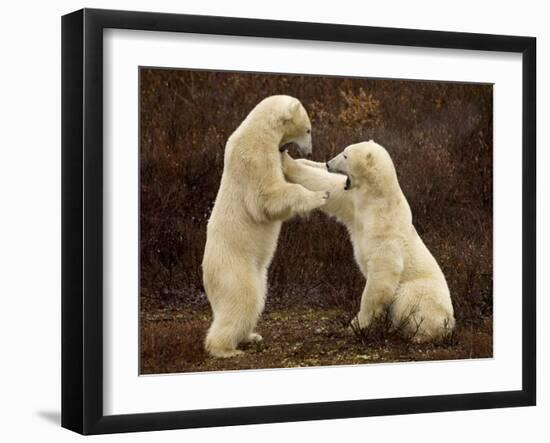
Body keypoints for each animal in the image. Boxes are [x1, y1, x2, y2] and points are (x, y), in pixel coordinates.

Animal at [205, 95, 330, 360]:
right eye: (308, 129)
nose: (311, 150)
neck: (258, 131)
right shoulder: (254, 157)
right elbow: (267, 197)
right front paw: (321, 194)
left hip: (260, 275)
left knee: (257, 301)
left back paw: (251, 336)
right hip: (234, 270)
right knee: (242, 301)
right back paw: (226, 349)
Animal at [284, 140, 458, 342]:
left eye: (345, 155)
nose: (328, 163)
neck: (377, 201)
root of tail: (450, 324)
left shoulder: (384, 232)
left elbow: (381, 278)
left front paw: (357, 325)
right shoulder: (354, 203)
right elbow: (328, 186)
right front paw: (290, 159)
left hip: (425, 295)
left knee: (407, 298)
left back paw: (412, 334)